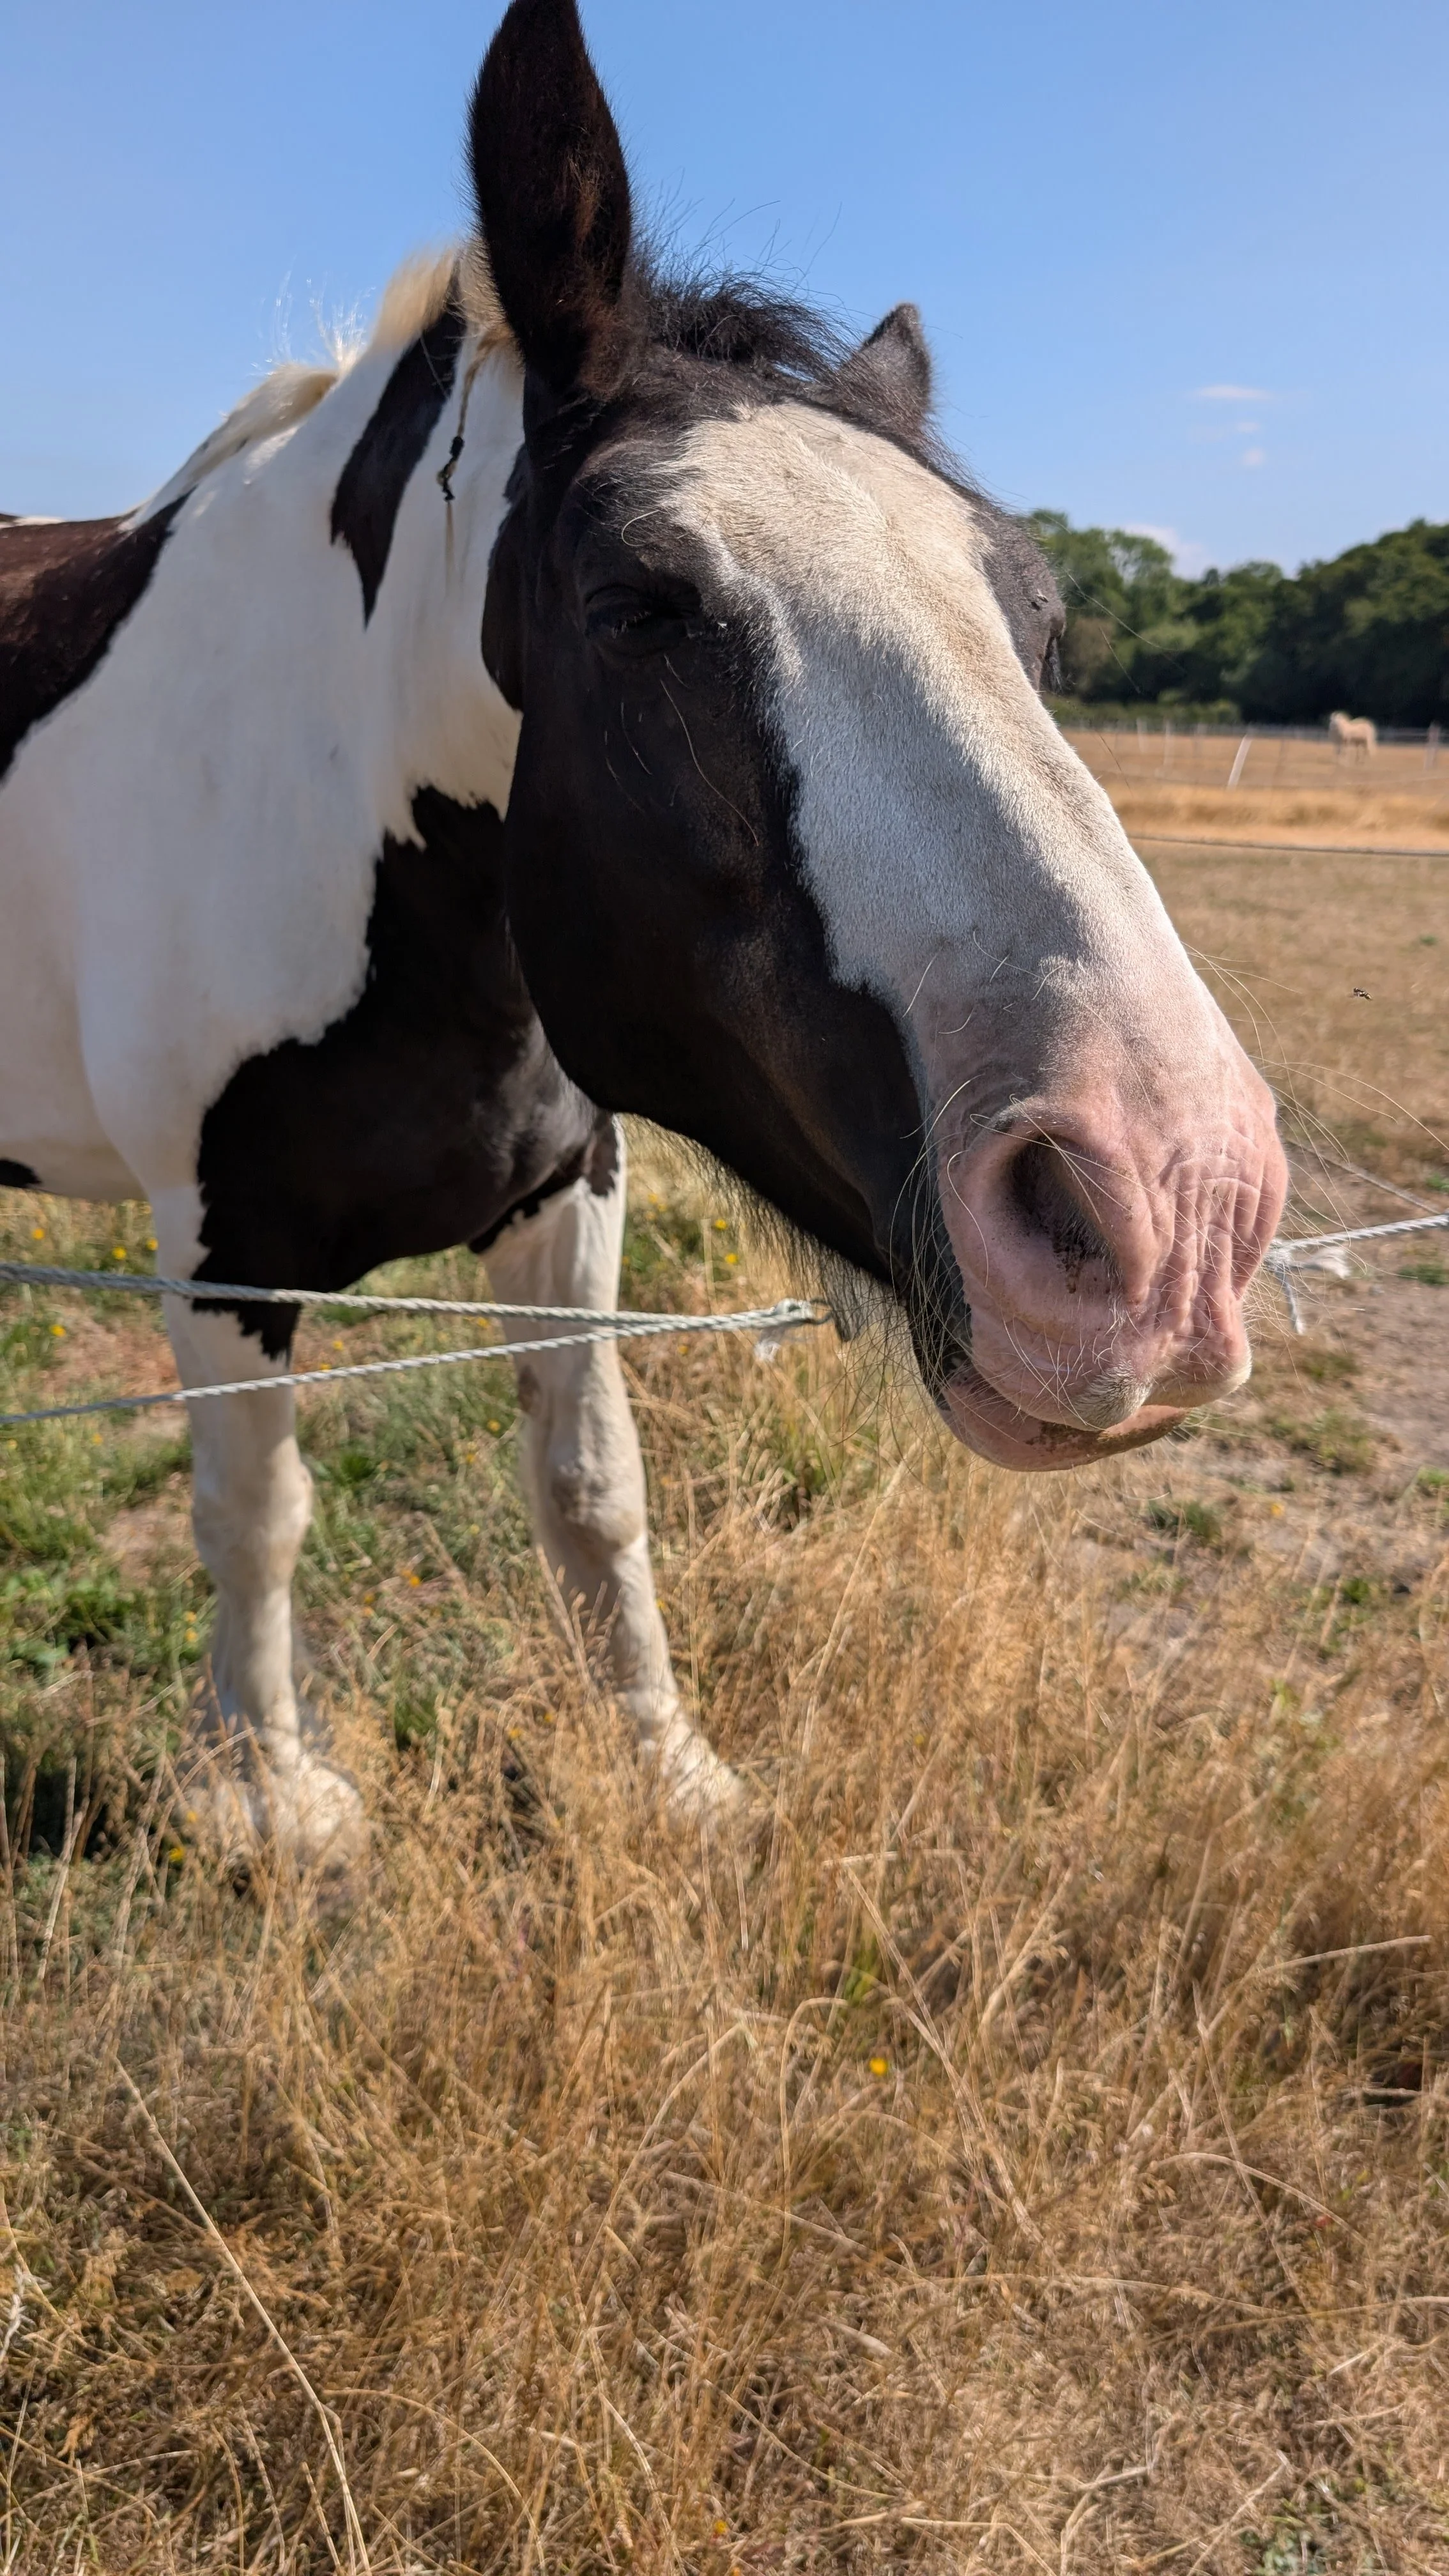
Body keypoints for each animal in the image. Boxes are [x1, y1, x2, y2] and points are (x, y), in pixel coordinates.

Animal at [0, 0, 1286, 1868]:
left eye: (1037, 620)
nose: (1170, 1218)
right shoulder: (219, 1244)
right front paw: (273, 1797)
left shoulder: (566, 1195)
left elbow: (595, 1494)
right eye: (637, 607)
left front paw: (671, 1771)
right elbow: (255, 1511)